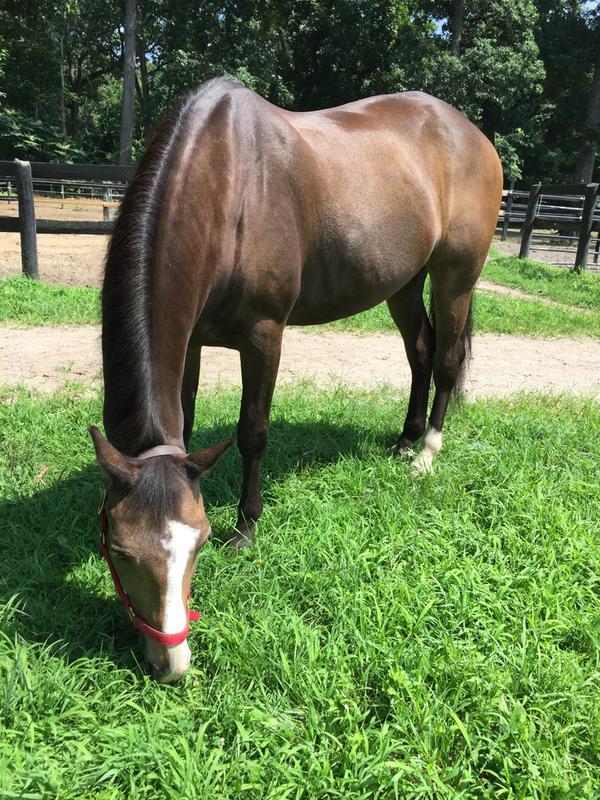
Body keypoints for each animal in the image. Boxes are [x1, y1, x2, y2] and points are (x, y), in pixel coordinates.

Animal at [90, 76, 502, 682]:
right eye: (119, 550)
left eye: (201, 543)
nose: (172, 661)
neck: (228, 184)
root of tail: (472, 135)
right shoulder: (190, 340)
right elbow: (186, 422)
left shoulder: (264, 335)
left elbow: (253, 431)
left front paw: (247, 529)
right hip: (403, 283)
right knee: (420, 355)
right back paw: (404, 440)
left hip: (456, 276)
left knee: (447, 361)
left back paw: (426, 453)